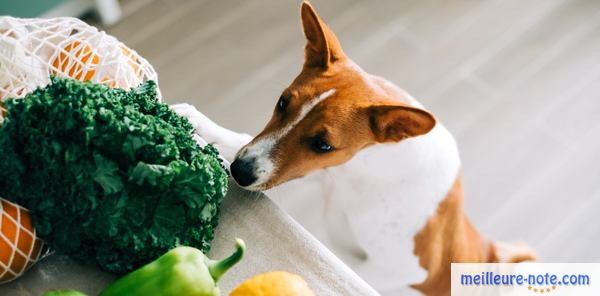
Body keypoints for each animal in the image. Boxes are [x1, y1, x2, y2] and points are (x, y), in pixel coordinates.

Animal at [171, 1, 536, 294]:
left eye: (323, 144)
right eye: (282, 102)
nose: (240, 171)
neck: (364, 174)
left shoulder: (399, 268)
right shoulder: (321, 173)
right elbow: (241, 139)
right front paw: (196, 120)